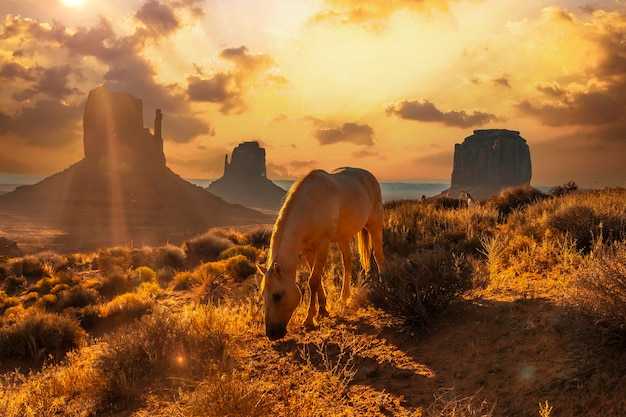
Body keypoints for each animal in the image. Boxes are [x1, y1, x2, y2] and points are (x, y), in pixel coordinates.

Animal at [256, 167, 382, 340]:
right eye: (263, 295)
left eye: (277, 295)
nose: (271, 334)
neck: (309, 207)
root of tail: (369, 175)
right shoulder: (306, 249)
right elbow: (315, 278)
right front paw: (323, 309)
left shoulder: (323, 245)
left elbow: (313, 281)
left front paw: (309, 319)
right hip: (343, 237)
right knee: (347, 262)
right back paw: (344, 298)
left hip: (374, 224)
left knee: (378, 255)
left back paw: (384, 284)